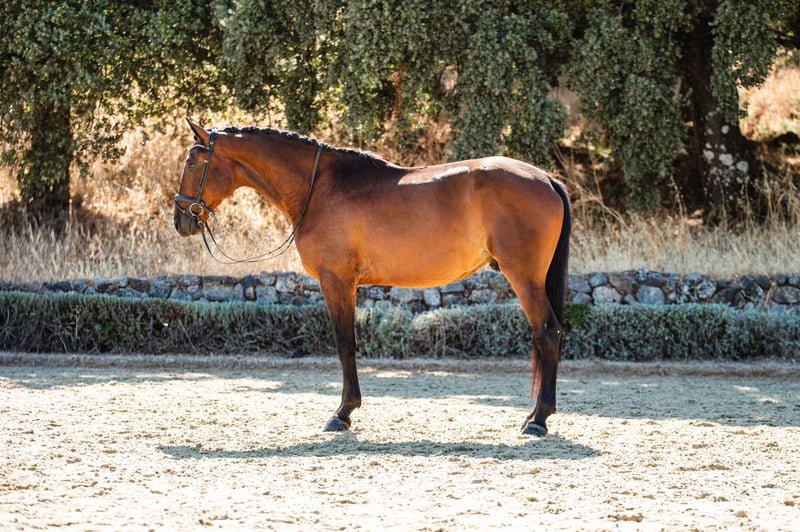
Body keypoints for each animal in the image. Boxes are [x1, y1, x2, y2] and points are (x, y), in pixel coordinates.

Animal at [174, 119, 571, 436]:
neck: (319, 188)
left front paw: (342, 413)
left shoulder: (336, 281)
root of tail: (546, 178)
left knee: (547, 333)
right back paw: (534, 416)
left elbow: (344, 344)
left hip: (524, 277)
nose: (181, 221)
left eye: (192, 162)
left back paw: (538, 420)